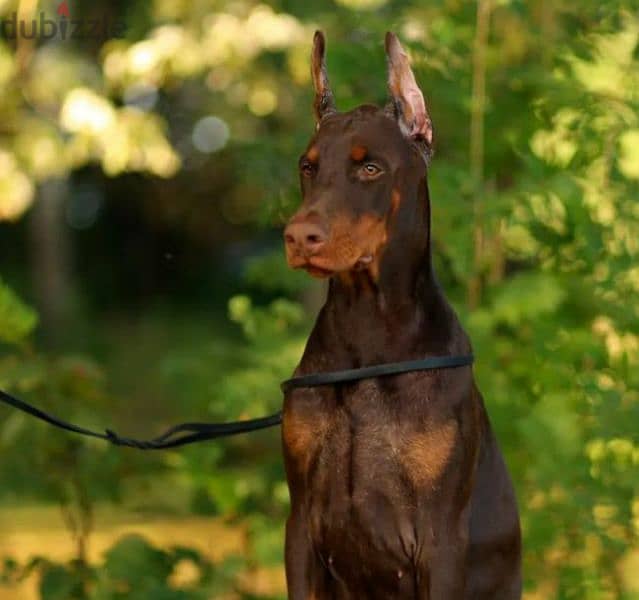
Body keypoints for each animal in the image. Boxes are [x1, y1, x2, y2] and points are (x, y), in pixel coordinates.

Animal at [282, 34, 524, 600]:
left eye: (370, 168)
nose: (299, 236)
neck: (367, 334)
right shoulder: (300, 526)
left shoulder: (441, 539)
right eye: (308, 166)